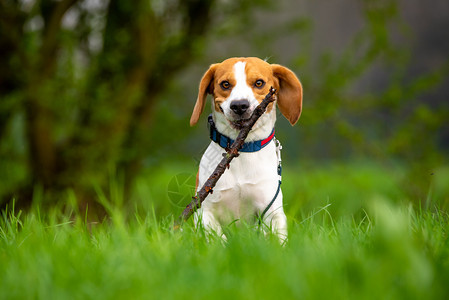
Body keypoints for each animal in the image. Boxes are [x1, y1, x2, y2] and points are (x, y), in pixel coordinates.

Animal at [189, 56, 300, 240]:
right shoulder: (205, 211)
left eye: (259, 83)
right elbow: (218, 237)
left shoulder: (272, 211)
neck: (241, 150)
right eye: (225, 84)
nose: (239, 105)